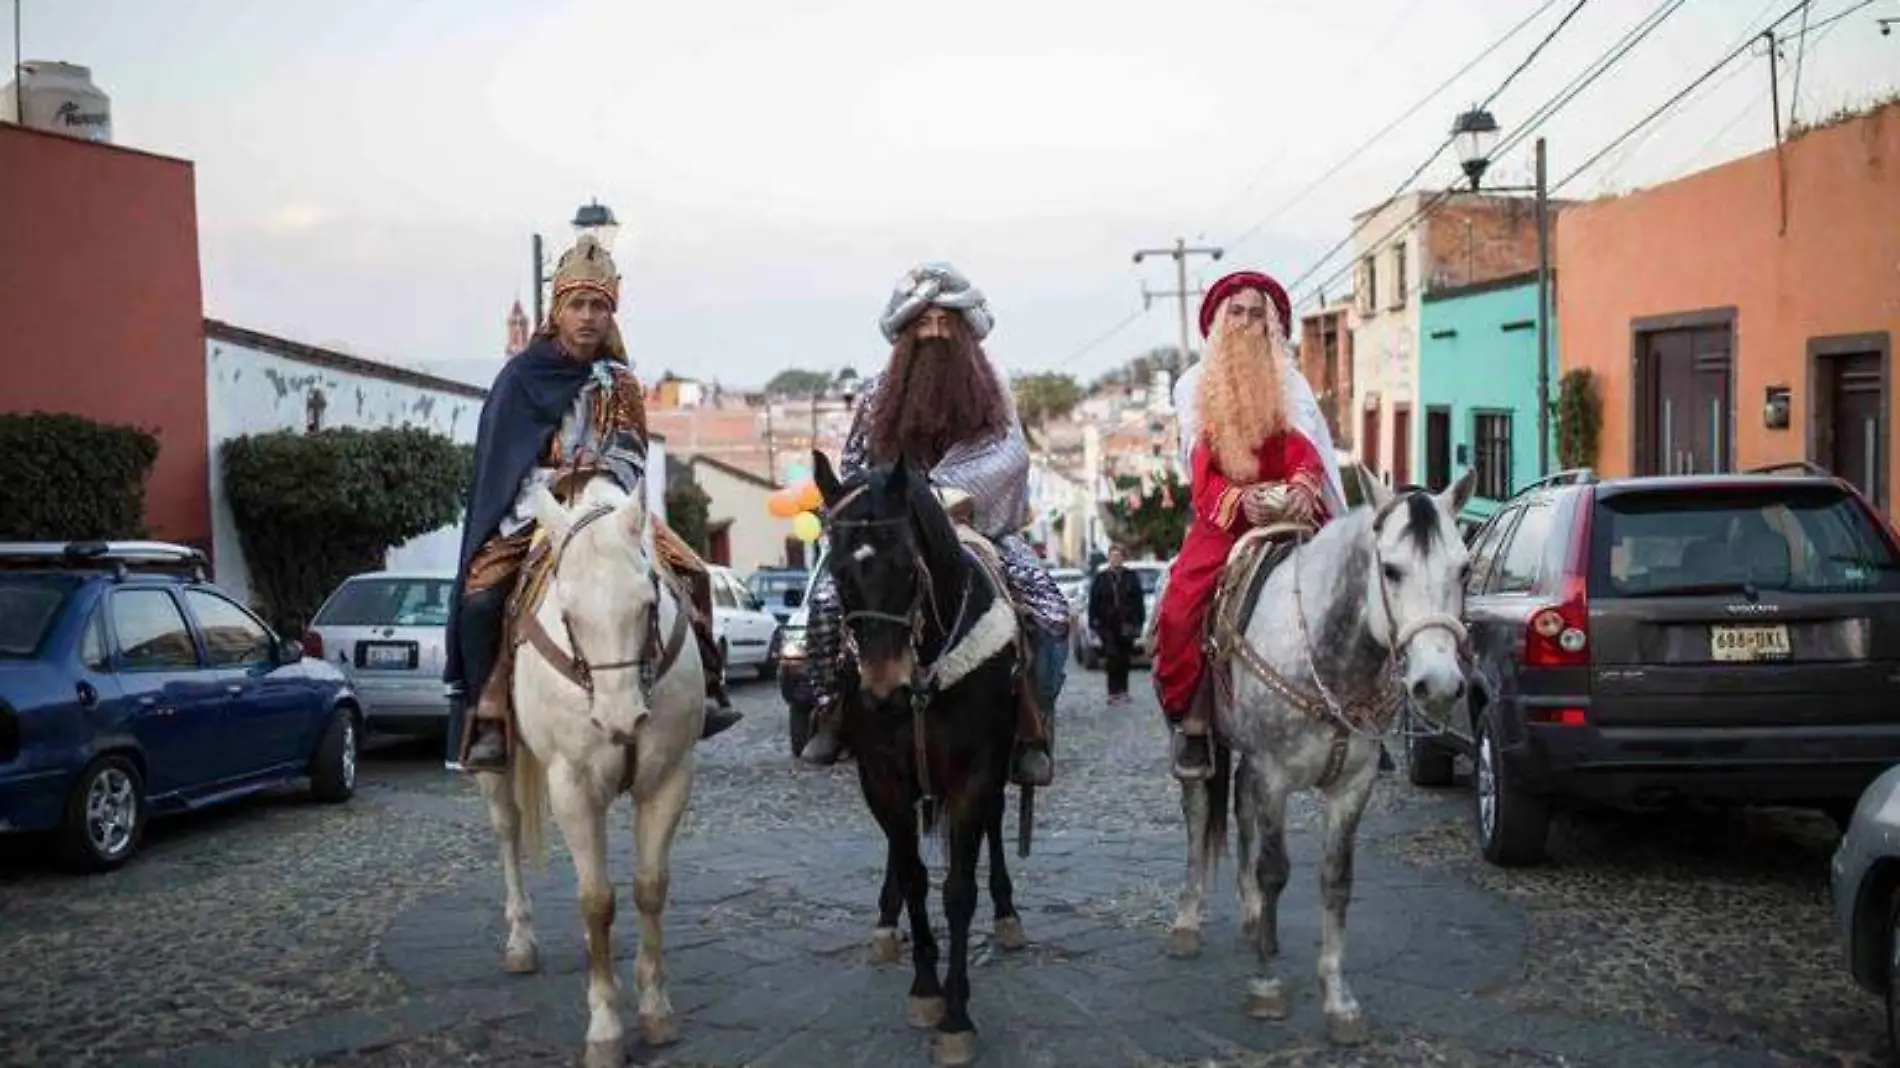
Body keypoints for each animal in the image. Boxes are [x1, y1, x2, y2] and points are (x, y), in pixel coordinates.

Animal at [475, 473, 706, 1064]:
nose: (621, 719)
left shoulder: (668, 777)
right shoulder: (573, 786)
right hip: (498, 769)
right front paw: (604, 1026)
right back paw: (521, 940)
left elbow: (648, 888)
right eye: (569, 614)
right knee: (507, 828)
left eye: (648, 602)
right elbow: (597, 900)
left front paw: (654, 1008)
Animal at [1162, 469, 1474, 1041]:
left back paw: (1253, 919)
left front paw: (1338, 999)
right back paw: (1188, 921)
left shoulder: (1352, 785)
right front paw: (1266, 986)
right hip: (1203, 744)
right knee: (1198, 815)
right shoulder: (1275, 775)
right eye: (1391, 569)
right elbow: (1274, 870)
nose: (1439, 682)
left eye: (1463, 568)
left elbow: (1336, 880)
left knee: (1239, 809)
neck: (1329, 657)